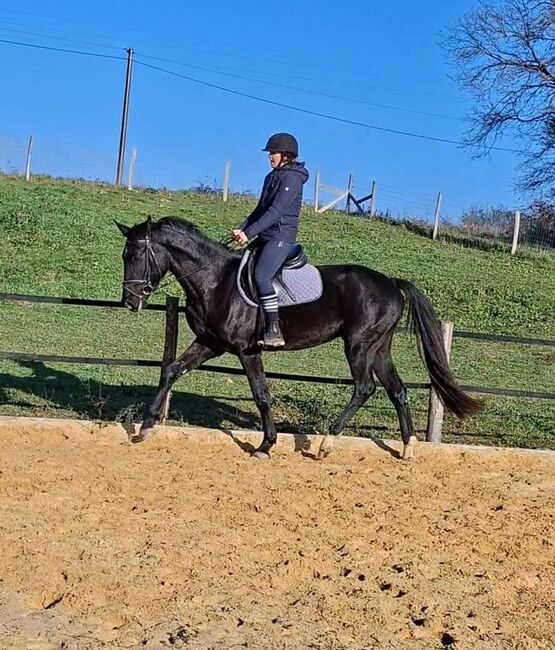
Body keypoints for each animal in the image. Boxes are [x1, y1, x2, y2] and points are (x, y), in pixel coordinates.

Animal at [116, 216, 482, 460]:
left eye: (135, 256)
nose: (130, 302)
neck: (215, 280)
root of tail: (392, 283)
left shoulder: (247, 351)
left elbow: (261, 395)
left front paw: (265, 445)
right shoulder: (211, 344)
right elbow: (171, 370)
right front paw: (146, 427)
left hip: (359, 345)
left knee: (365, 388)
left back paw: (326, 443)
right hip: (379, 348)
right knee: (397, 390)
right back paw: (407, 448)